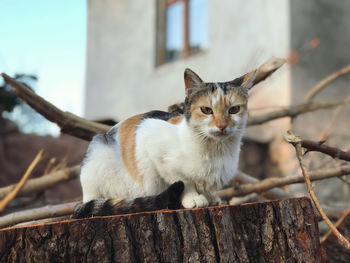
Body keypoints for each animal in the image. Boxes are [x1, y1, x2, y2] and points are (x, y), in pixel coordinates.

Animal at [76, 68, 256, 219]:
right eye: (206, 110)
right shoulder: (151, 139)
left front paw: (212, 198)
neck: (215, 150)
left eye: (234, 110)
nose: (222, 126)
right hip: (98, 151)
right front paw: (194, 198)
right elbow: (184, 180)